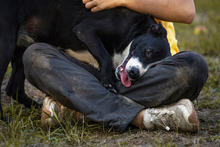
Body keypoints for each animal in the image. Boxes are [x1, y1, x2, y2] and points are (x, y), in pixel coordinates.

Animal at [0, 0, 170, 120]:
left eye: (154, 67)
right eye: (148, 51)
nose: (135, 73)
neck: (133, 28)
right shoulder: (85, 29)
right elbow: (105, 56)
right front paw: (108, 81)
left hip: (22, 48)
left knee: (14, 88)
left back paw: (40, 110)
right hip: (6, 44)